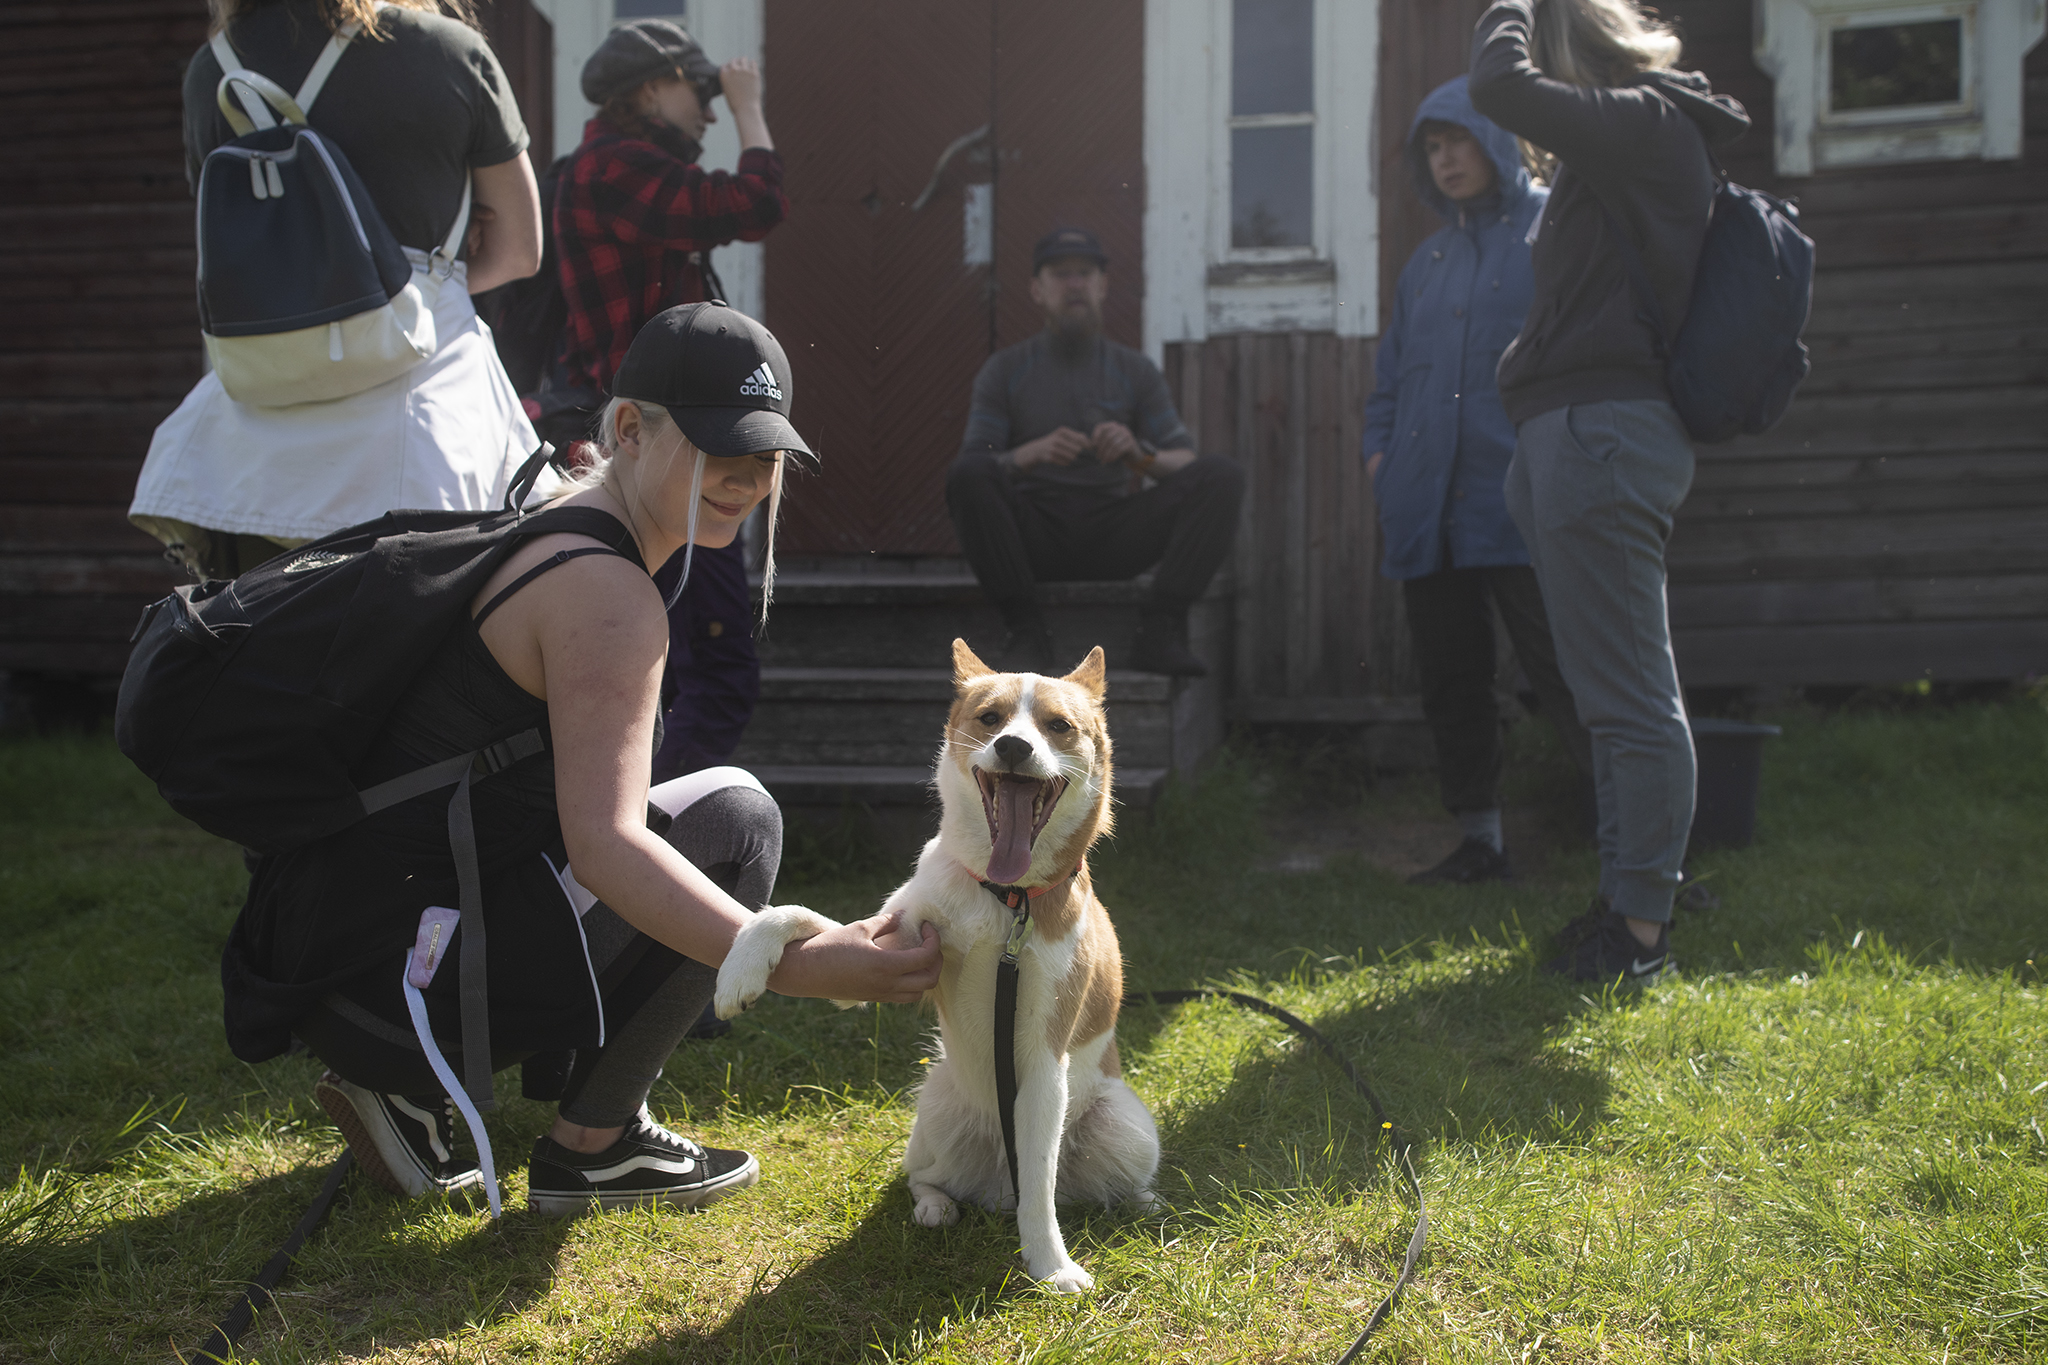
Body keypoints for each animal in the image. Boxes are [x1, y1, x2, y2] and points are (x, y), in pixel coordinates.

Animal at [715, 639, 1159, 1292]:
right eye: (990, 718)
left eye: (1058, 725)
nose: (1015, 747)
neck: (1004, 899)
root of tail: (995, 1187)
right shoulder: (892, 935)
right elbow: (793, 913)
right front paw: (739, 971)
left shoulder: (1042, 1060)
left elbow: (1041, 1188)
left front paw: (1051, 1265)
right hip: (935, 1102)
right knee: (920, 1176)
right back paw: (935, 1206)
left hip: (1125, 1124)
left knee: (1072, 1185)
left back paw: (1144, 1202)